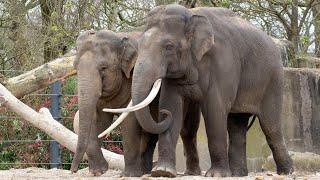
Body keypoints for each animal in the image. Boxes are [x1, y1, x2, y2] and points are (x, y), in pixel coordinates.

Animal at [69, 28, 201, 176]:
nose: (73, 170)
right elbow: (97, 120)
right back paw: (144, 171)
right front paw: (98, 172)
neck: (120, 38)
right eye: (75, 67)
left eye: (103, 68)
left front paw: (128, 175)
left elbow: (130, 121)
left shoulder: (132, 79)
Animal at [104, 3, 292, 177]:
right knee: (236, 124)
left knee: (270, 126)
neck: (191, 14)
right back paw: (238, 174)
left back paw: (286, 172)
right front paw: (163, 172)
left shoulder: (223, 64)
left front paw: (216, 175)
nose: (161, 114)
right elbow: (173, 106)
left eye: (169, 47)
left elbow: (214, 110)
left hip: (274, 80)